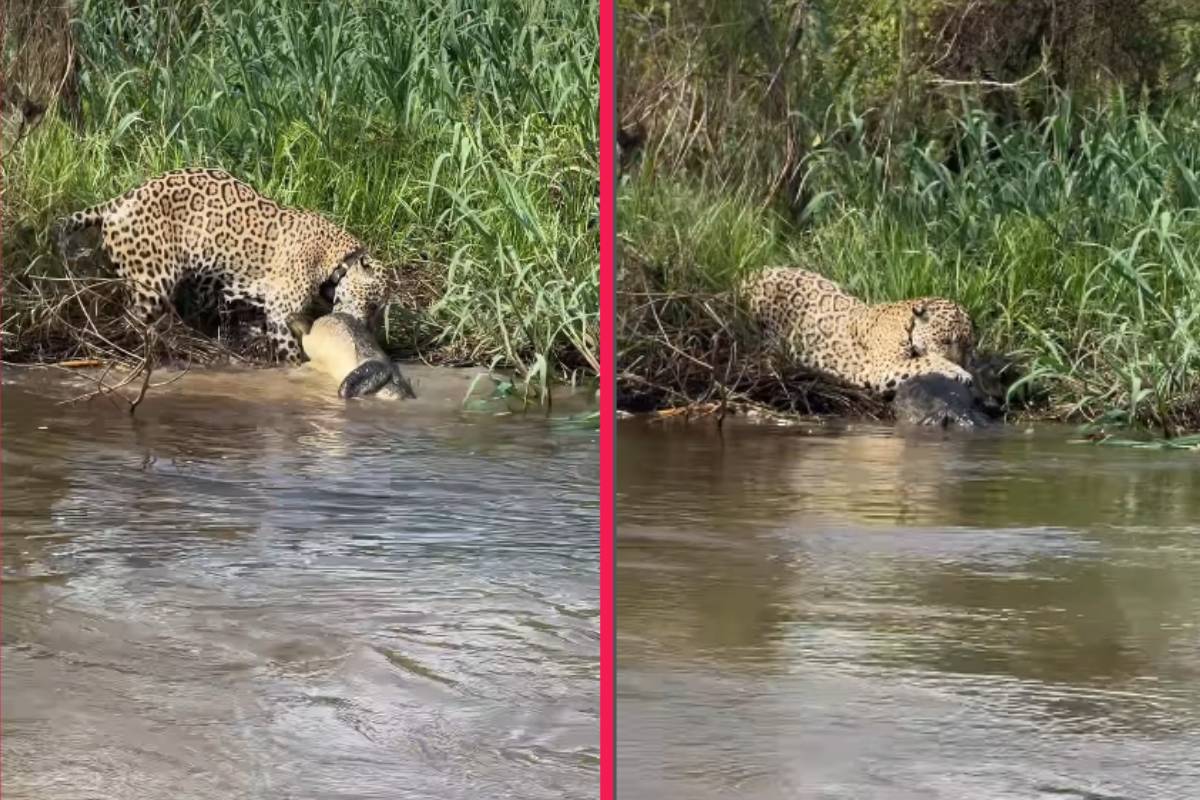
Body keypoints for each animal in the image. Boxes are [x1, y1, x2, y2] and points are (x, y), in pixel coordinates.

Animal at [53, 167, 390, 363]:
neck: (336, 259)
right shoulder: (280, 309)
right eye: (373, 305)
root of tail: (116, 202)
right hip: (151, 281)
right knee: (130, 320)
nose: (366, 331)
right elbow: (292, 350)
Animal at [741, 266, 975, 395]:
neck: (905, 323)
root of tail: (751, 274)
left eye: (968, 347)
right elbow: (926, 361)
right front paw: (959, 372)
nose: (962, 362)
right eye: (945, 341)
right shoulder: (884, 369)